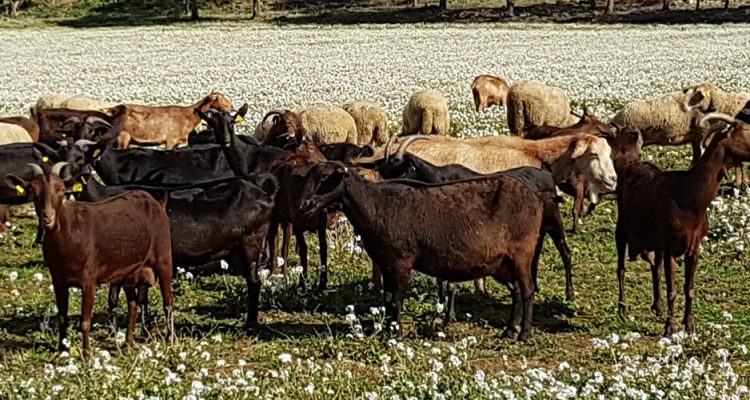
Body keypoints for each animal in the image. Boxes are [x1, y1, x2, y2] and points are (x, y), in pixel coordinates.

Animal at [5, 162, 174, 356]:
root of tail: (156, 203)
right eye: (33, 190)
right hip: (129, 271)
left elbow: (85, 321)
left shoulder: (88, 280)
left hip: (164, 258)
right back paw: (128, 344)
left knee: (168, 302)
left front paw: (86, 354)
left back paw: (171, 340)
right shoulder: (58, 281)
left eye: (61, 190)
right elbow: (62, 317)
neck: (69, 233)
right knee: (133, 304)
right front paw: (62, 350)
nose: (47, 217)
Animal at [300, 162, 544, 340]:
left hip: (522, 254)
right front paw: (387, 331)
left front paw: (395, 333)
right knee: (516, 292)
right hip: (501, 264)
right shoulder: (386, 262)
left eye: (324, 178)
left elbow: (396, 300)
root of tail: (535, 197)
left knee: (527, 290)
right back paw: (509, 331)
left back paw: (524, 334)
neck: (375, 206)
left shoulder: (401, 261)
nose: (305, 205)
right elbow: (387, 299)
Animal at [615, 112, 750, 336]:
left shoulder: (694, 248)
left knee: (655, 267)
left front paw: (689, 325)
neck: (689, 197)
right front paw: (670, 328)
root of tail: (632, 165)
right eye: (746, 130)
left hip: (655, 243)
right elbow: (673, 290)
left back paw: (658, 308)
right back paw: (622, 309)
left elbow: (689, 288)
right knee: (621, 269)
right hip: (622, 228)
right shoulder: (670, 247)